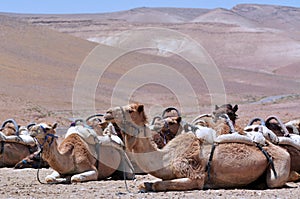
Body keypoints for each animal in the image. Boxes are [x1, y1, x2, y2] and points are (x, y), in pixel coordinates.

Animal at [105, 102, 290, 191]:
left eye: (130, 110)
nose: (107, 113)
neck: (166, 156)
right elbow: (150, 183)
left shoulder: (195, 175)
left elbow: (159, 184)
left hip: (279, 168)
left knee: (275, 180)